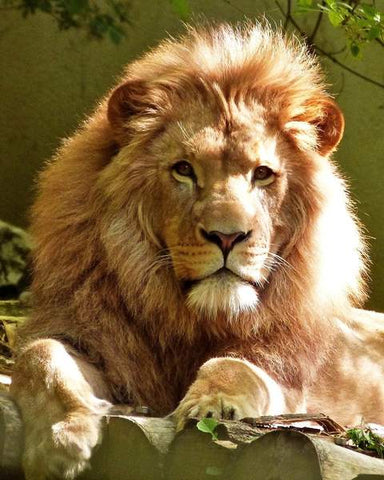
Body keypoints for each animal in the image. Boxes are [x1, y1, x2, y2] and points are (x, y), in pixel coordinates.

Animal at [10, 22, 384, 480]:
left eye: (263, 174)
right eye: (184, 169)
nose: (227, 236)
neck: (192, 317)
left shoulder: (289, 380)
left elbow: (235, 367)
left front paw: (213, 406)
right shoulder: (96, 340)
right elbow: (41, 356)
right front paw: (61, 437)